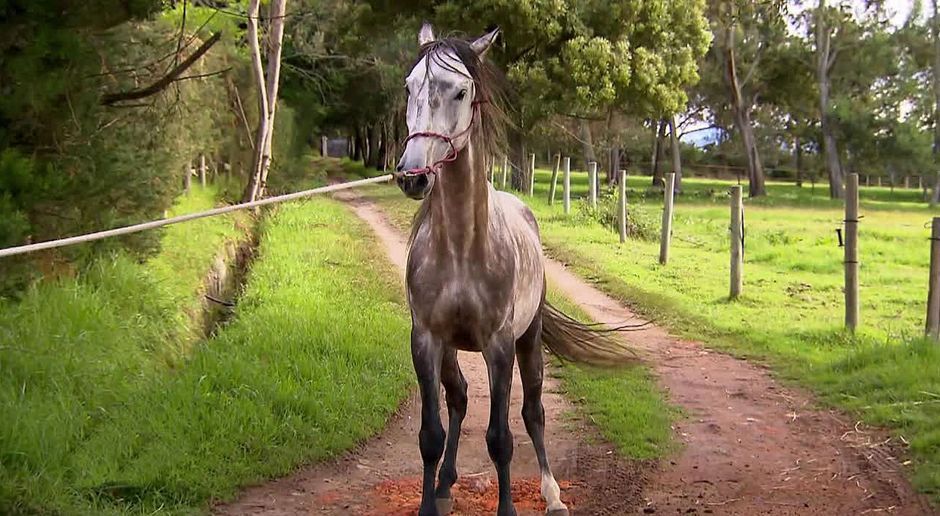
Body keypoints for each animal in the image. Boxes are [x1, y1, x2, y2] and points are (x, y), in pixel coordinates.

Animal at [392, 23, 636, 516]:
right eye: (409, 87)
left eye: (461, 91)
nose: (413, 176)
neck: (462, 249)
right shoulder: (425, 339)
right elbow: (430, 435)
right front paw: (430, 501)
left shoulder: (499, 344)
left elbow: (501, 438)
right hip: (452, 349)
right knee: (459, 398)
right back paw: (445, 486)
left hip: (530, 338)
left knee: (533, 412)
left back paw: (552, 493)